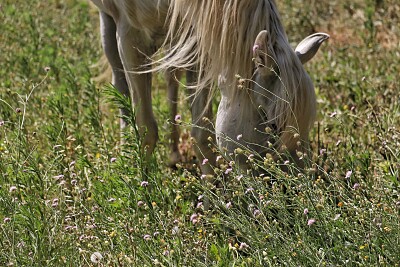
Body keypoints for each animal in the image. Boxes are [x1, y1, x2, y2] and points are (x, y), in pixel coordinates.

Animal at [90, 0, 328, 175]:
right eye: (273, 125)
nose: (300, 188)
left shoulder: (198, 40)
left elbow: (202, 135)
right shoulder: (130, 36)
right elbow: (146, 129)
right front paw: (145, 198)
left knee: (171, 76)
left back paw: (173, 154)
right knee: (120, 82)